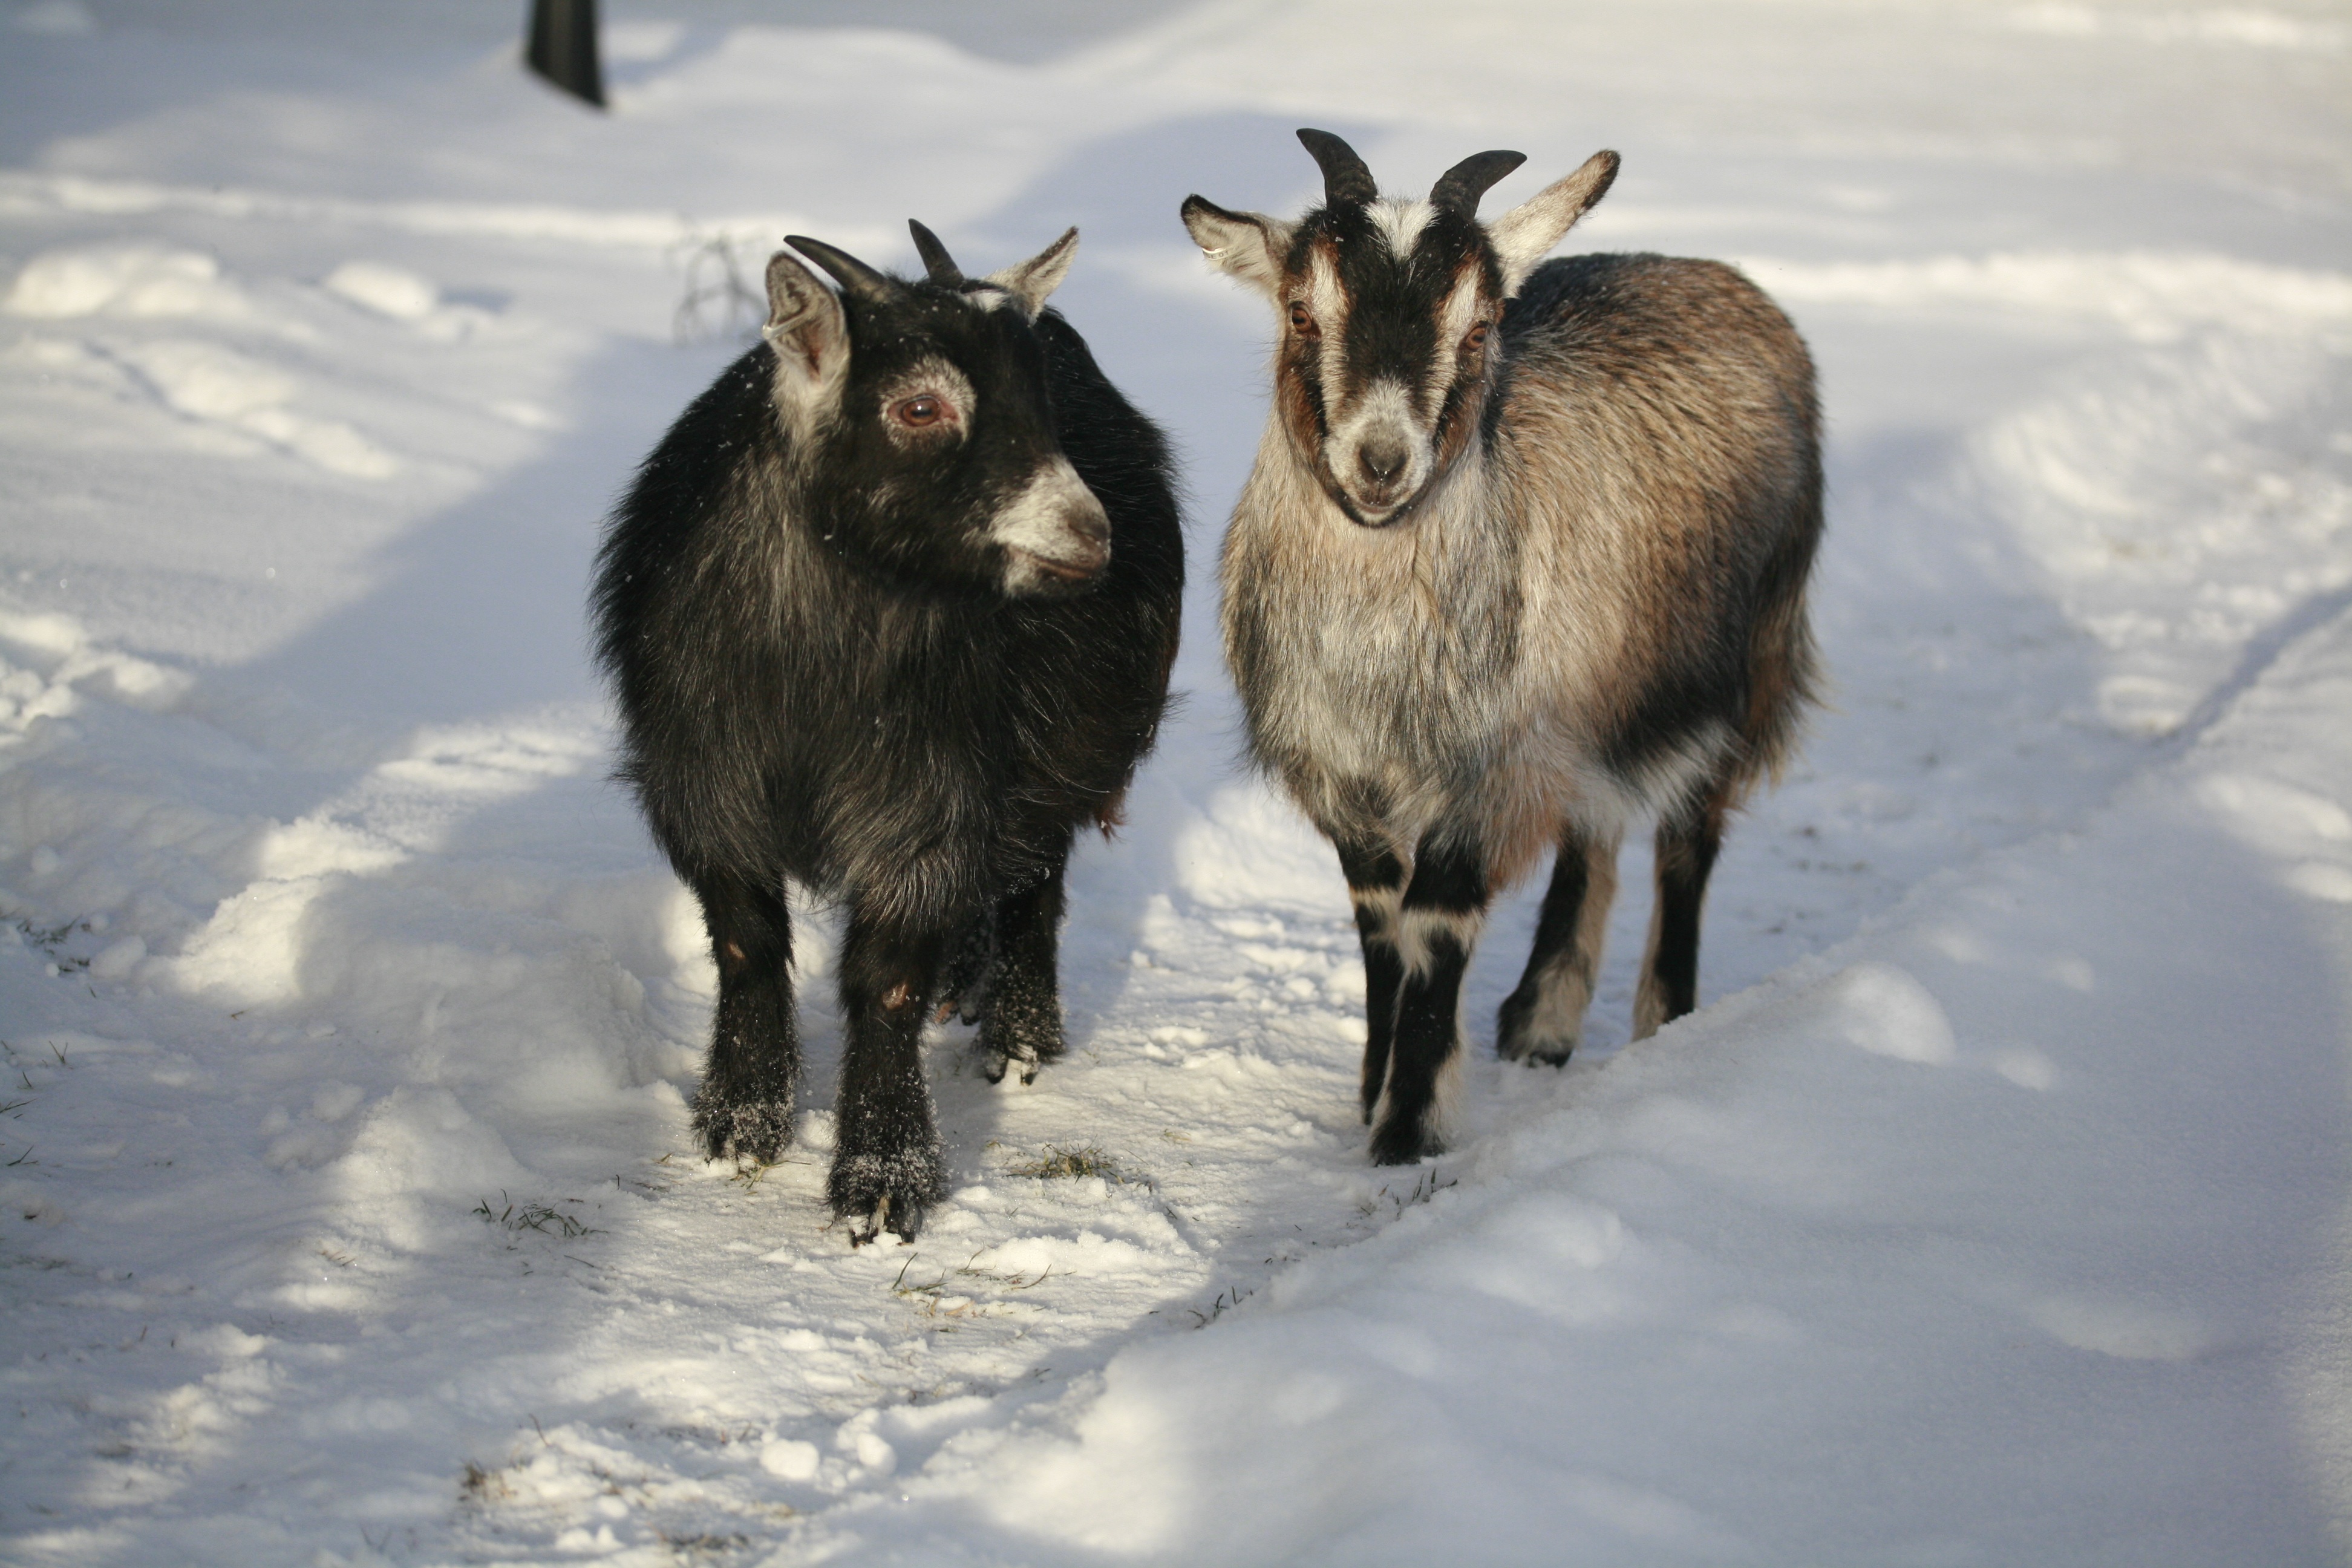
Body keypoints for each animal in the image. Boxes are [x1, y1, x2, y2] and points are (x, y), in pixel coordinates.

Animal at [593, 224, 1184, 1243]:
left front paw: (880, 1180)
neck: (817, 674)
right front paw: (740, 1124)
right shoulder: (705, 782)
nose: (1088, 535)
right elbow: (746, 943)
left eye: (1041, 402)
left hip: (1060, 755)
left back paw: (1018, 1034)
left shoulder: (928, 800)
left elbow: (888, 980)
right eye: (919, 406)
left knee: (1034, 874)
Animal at [1183, 131, 1821, 1164]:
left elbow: (1437, 927)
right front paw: (1372, 1092)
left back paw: (1665, 1022)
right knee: (1595, 826)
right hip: (1596, 700)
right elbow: (1381, 925)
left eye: (1481, 327)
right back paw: (1542, 1021)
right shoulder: (1349, 774)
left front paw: (1409, 1133)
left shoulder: (1487, 771)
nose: (1381, 461)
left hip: (1743, 659)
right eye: (1300, 312)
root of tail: (1713, 275)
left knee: (1689, 833)